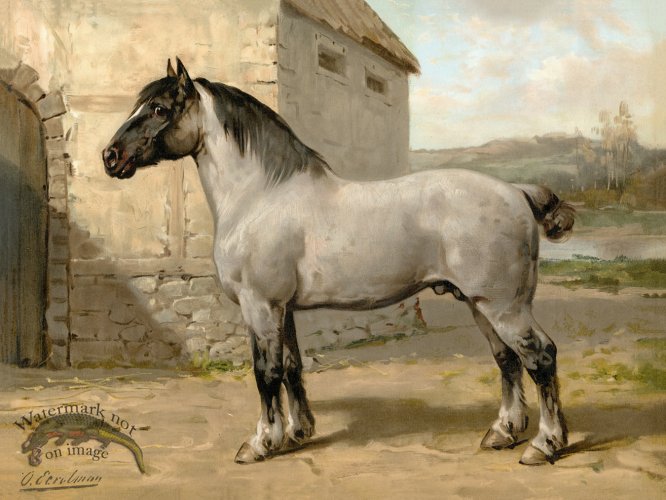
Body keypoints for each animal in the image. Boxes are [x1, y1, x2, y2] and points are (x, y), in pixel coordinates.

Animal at [103, 58, 575, 466]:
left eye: (159, 108)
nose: (110, 157)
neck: (261, 196)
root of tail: (516, 192)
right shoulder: (283, 310)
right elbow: (291, 367)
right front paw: (298, 433)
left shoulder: (260, 307)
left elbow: (265, 372)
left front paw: (261, 443)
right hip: (479, 304)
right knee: (507, 360)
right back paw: (502, 433)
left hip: (503, 306)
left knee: (540, 356)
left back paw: (544, 445)